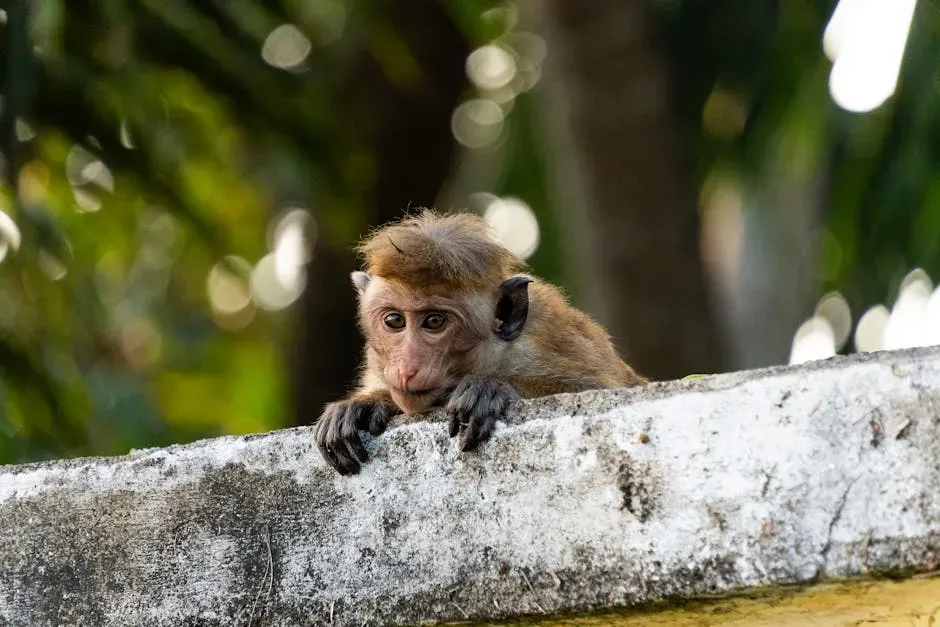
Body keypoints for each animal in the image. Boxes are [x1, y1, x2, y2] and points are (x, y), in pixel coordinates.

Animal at [315, 209, 645, 475]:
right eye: (394, 321)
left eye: (434, 322)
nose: (406, 368)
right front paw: (365, 404)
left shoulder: (550, 337)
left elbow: (598, 385)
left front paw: (490, 388)